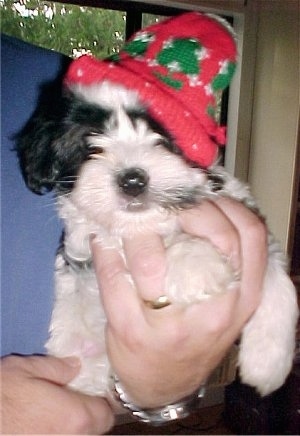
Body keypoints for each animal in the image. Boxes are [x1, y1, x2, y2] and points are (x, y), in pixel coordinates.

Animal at [17, 79, 298, 398]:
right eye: (91, 145)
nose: (132, 180)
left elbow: (278, 279)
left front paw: (268, 364)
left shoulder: (251, 222)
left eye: (161, 139)